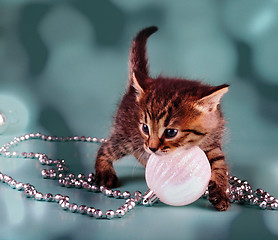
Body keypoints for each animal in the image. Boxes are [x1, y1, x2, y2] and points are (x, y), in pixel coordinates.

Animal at [95, 25, 230, 211]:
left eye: (171, 132)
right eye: (145, 128)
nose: (152, 148)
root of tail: (132, 90)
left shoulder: (213, 142)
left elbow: (219, 164)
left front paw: (220, 192)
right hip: (127, 138)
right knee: (106, 148)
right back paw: (104, 171)